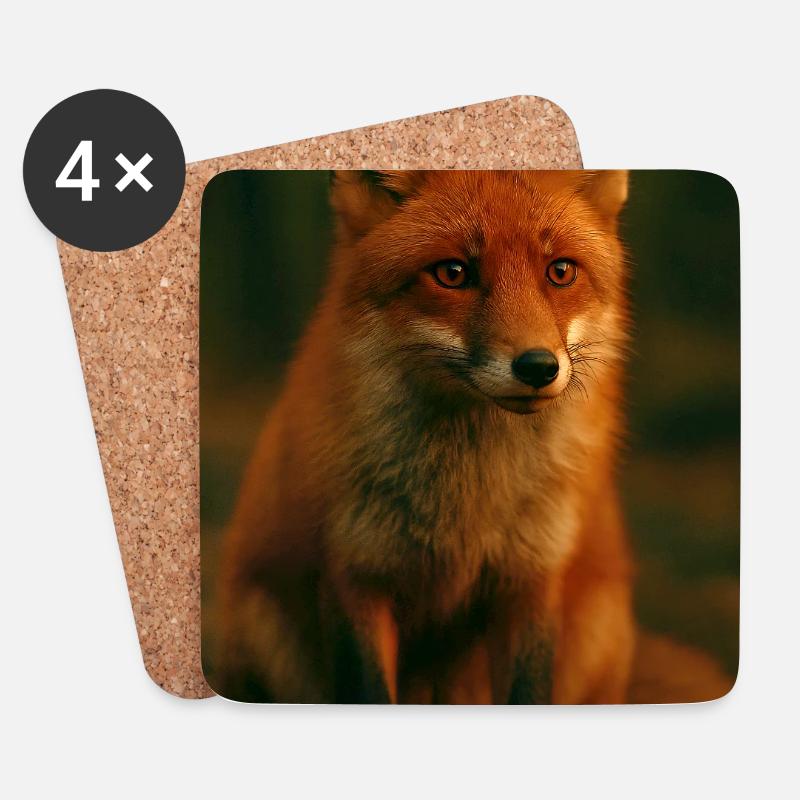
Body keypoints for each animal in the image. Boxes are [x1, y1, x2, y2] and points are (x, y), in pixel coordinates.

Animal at [214, 169, 635, 704]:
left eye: (560, 271)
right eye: (452, 273)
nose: (539, 367)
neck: (467, 506)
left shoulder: (531, 580)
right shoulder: (355, 577)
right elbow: (368, 691)